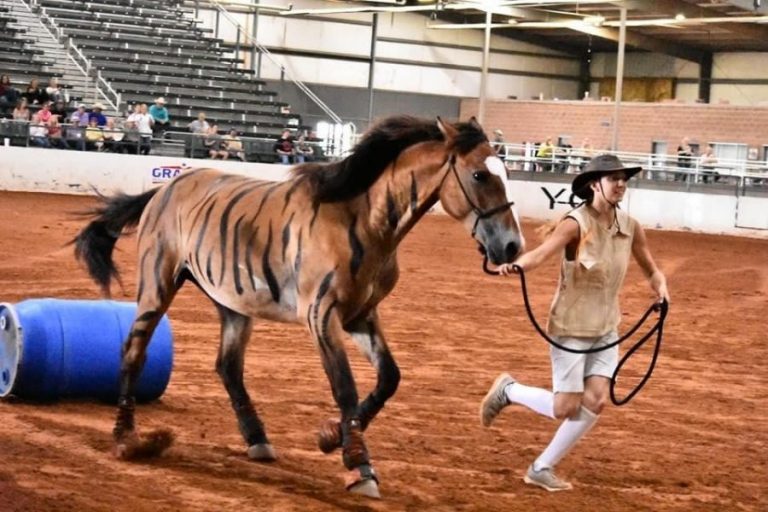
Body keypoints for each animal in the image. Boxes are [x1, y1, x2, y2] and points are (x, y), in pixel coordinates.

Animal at [73, 115, 524, 498]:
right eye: (480, 175)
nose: (511, 247)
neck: (363, 222)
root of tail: (165, 190)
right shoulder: (321, 316)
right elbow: (345, 387)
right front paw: (358, 465)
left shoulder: (361, 316)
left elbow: (388, 379)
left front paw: (331, 436)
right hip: (157, 285)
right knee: (133, 352)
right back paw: (127, 438)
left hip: (231, 302)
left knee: (228, 367)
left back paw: (257, 439)